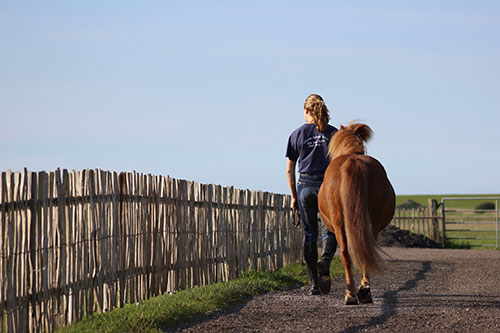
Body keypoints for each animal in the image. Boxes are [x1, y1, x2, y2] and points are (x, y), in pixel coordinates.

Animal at [320, 122, 394, 304]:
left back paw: (353, 294)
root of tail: (353, 161)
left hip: (340, 224)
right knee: (362, 250)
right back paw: (362, 291)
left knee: (348, 254)